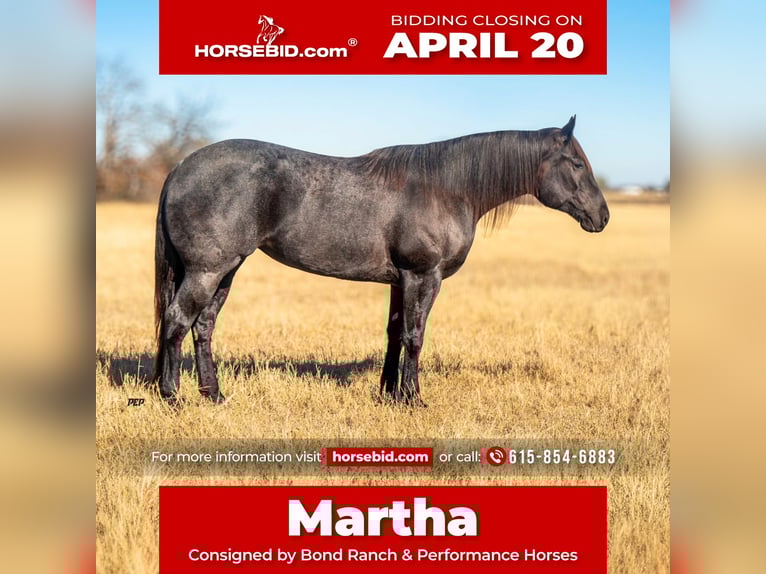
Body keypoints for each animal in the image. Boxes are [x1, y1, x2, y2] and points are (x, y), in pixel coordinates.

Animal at [153, 116, 609, 406]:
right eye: (576, 163)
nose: (602, 216)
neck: (447, 188)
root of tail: (180, 167)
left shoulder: (398, 280)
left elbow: (394, 333)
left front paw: (389, 393)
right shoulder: (423, 276)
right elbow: (415, 335)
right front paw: (413, 399)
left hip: (226, 269)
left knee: (203, 326)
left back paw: (214, 395)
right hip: (208, 270)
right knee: (177, 320)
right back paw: (172, 396)